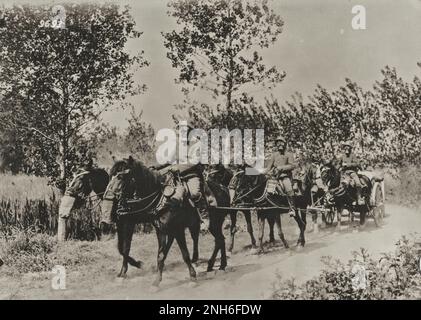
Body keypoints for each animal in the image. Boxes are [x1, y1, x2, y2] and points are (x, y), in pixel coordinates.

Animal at [100, 157, 228, 284]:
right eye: (110, 176)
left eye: (121, 176)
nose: (108, 195)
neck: (161, 198)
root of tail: (223, 188)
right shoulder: (157, 228)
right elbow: (153, 253)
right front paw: (155, 279)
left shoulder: (176, 229)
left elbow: (184, 254)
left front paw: (192, 276)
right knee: (219, 240)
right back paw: (214, 265)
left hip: (214, 223)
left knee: (219, 239)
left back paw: (220, 266)